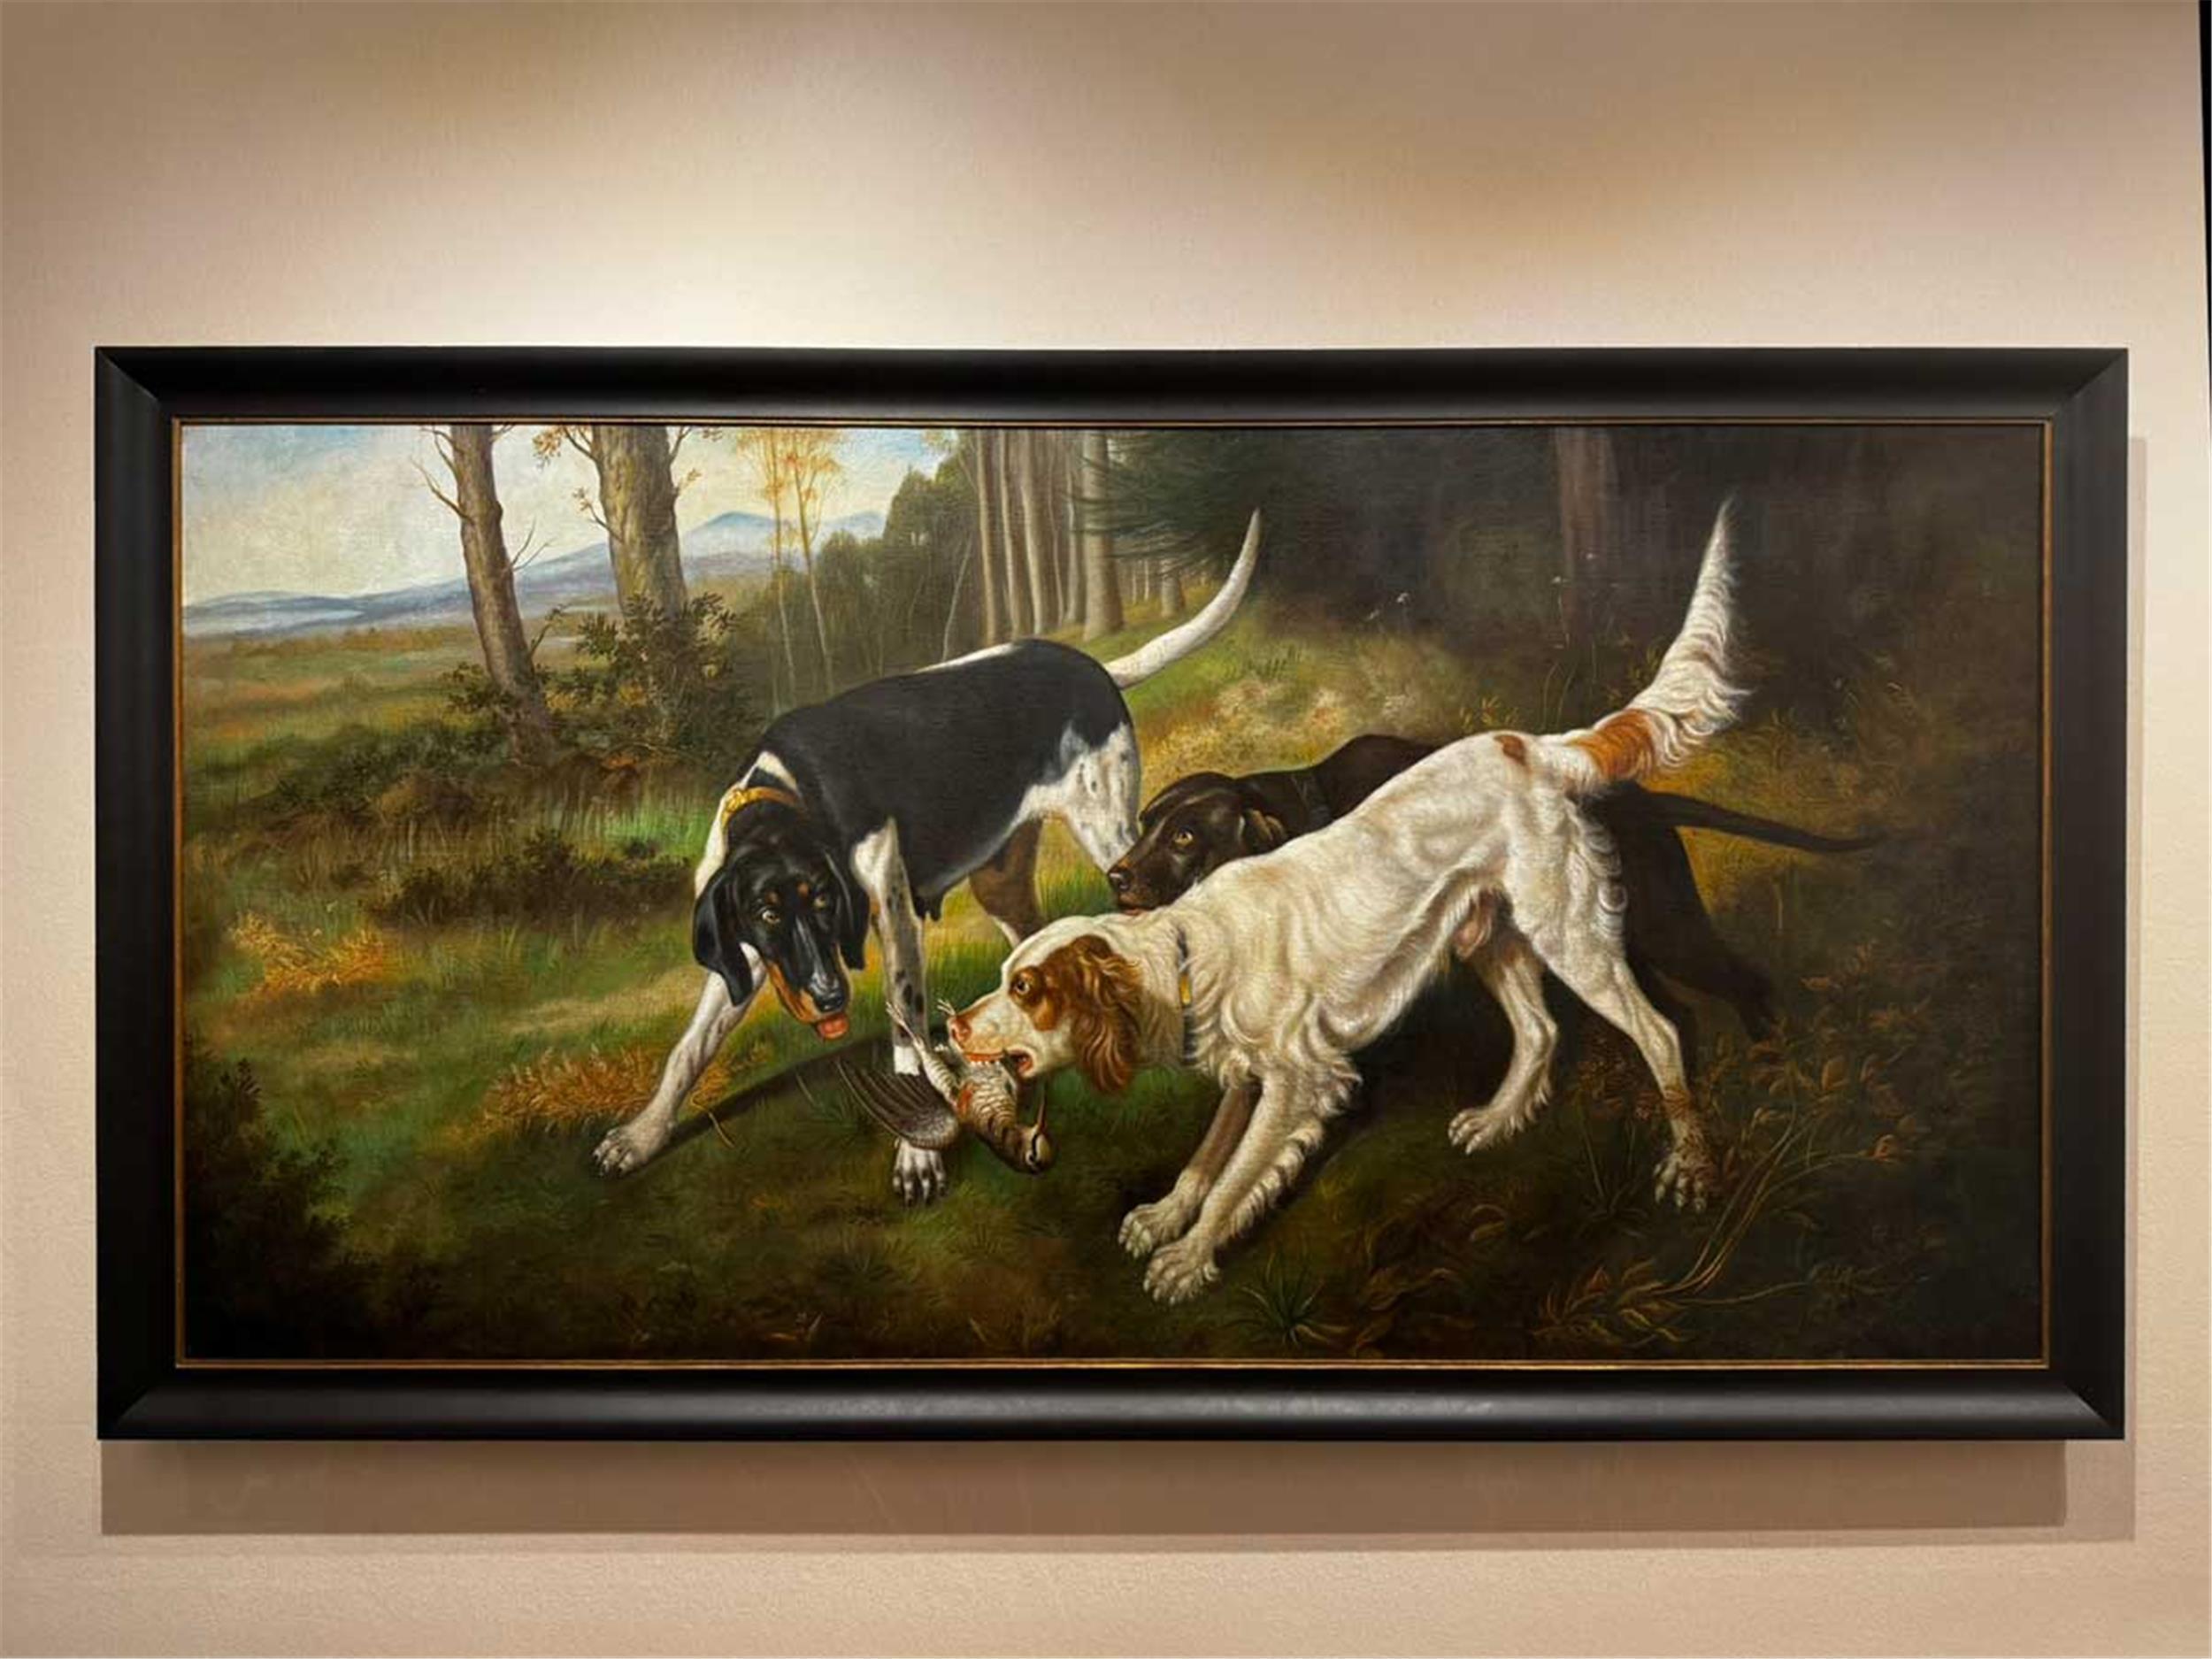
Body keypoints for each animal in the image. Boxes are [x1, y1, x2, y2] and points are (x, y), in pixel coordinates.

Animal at [592, 511, 1263, 1200]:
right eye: (767, 913)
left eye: (824, 900)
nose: (829, 998)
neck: (792, 789)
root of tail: (1093, 667)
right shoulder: (747, 955)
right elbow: (688, 1050)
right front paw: (642, 1135)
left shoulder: (895, 926)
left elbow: (905, 1036)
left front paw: (917, 1154)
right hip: (1003, 882)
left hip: (1111, 836)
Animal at [949, 504, 1746, 1302]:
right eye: (1004, 977)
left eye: (1025, 988)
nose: (953, 1028)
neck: (1191, 945)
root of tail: (1531, 745)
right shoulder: (1248, 1066)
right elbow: (1209, 1153)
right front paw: (1165, 1215)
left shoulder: (1298, 1077)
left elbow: (1235, 1175)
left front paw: (1188, 1256)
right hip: (1491, 934)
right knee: (1541, 1030)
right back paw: (1497, 1122)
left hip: (1571, 931)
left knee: (1662, 1031)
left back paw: (1693, 1168)